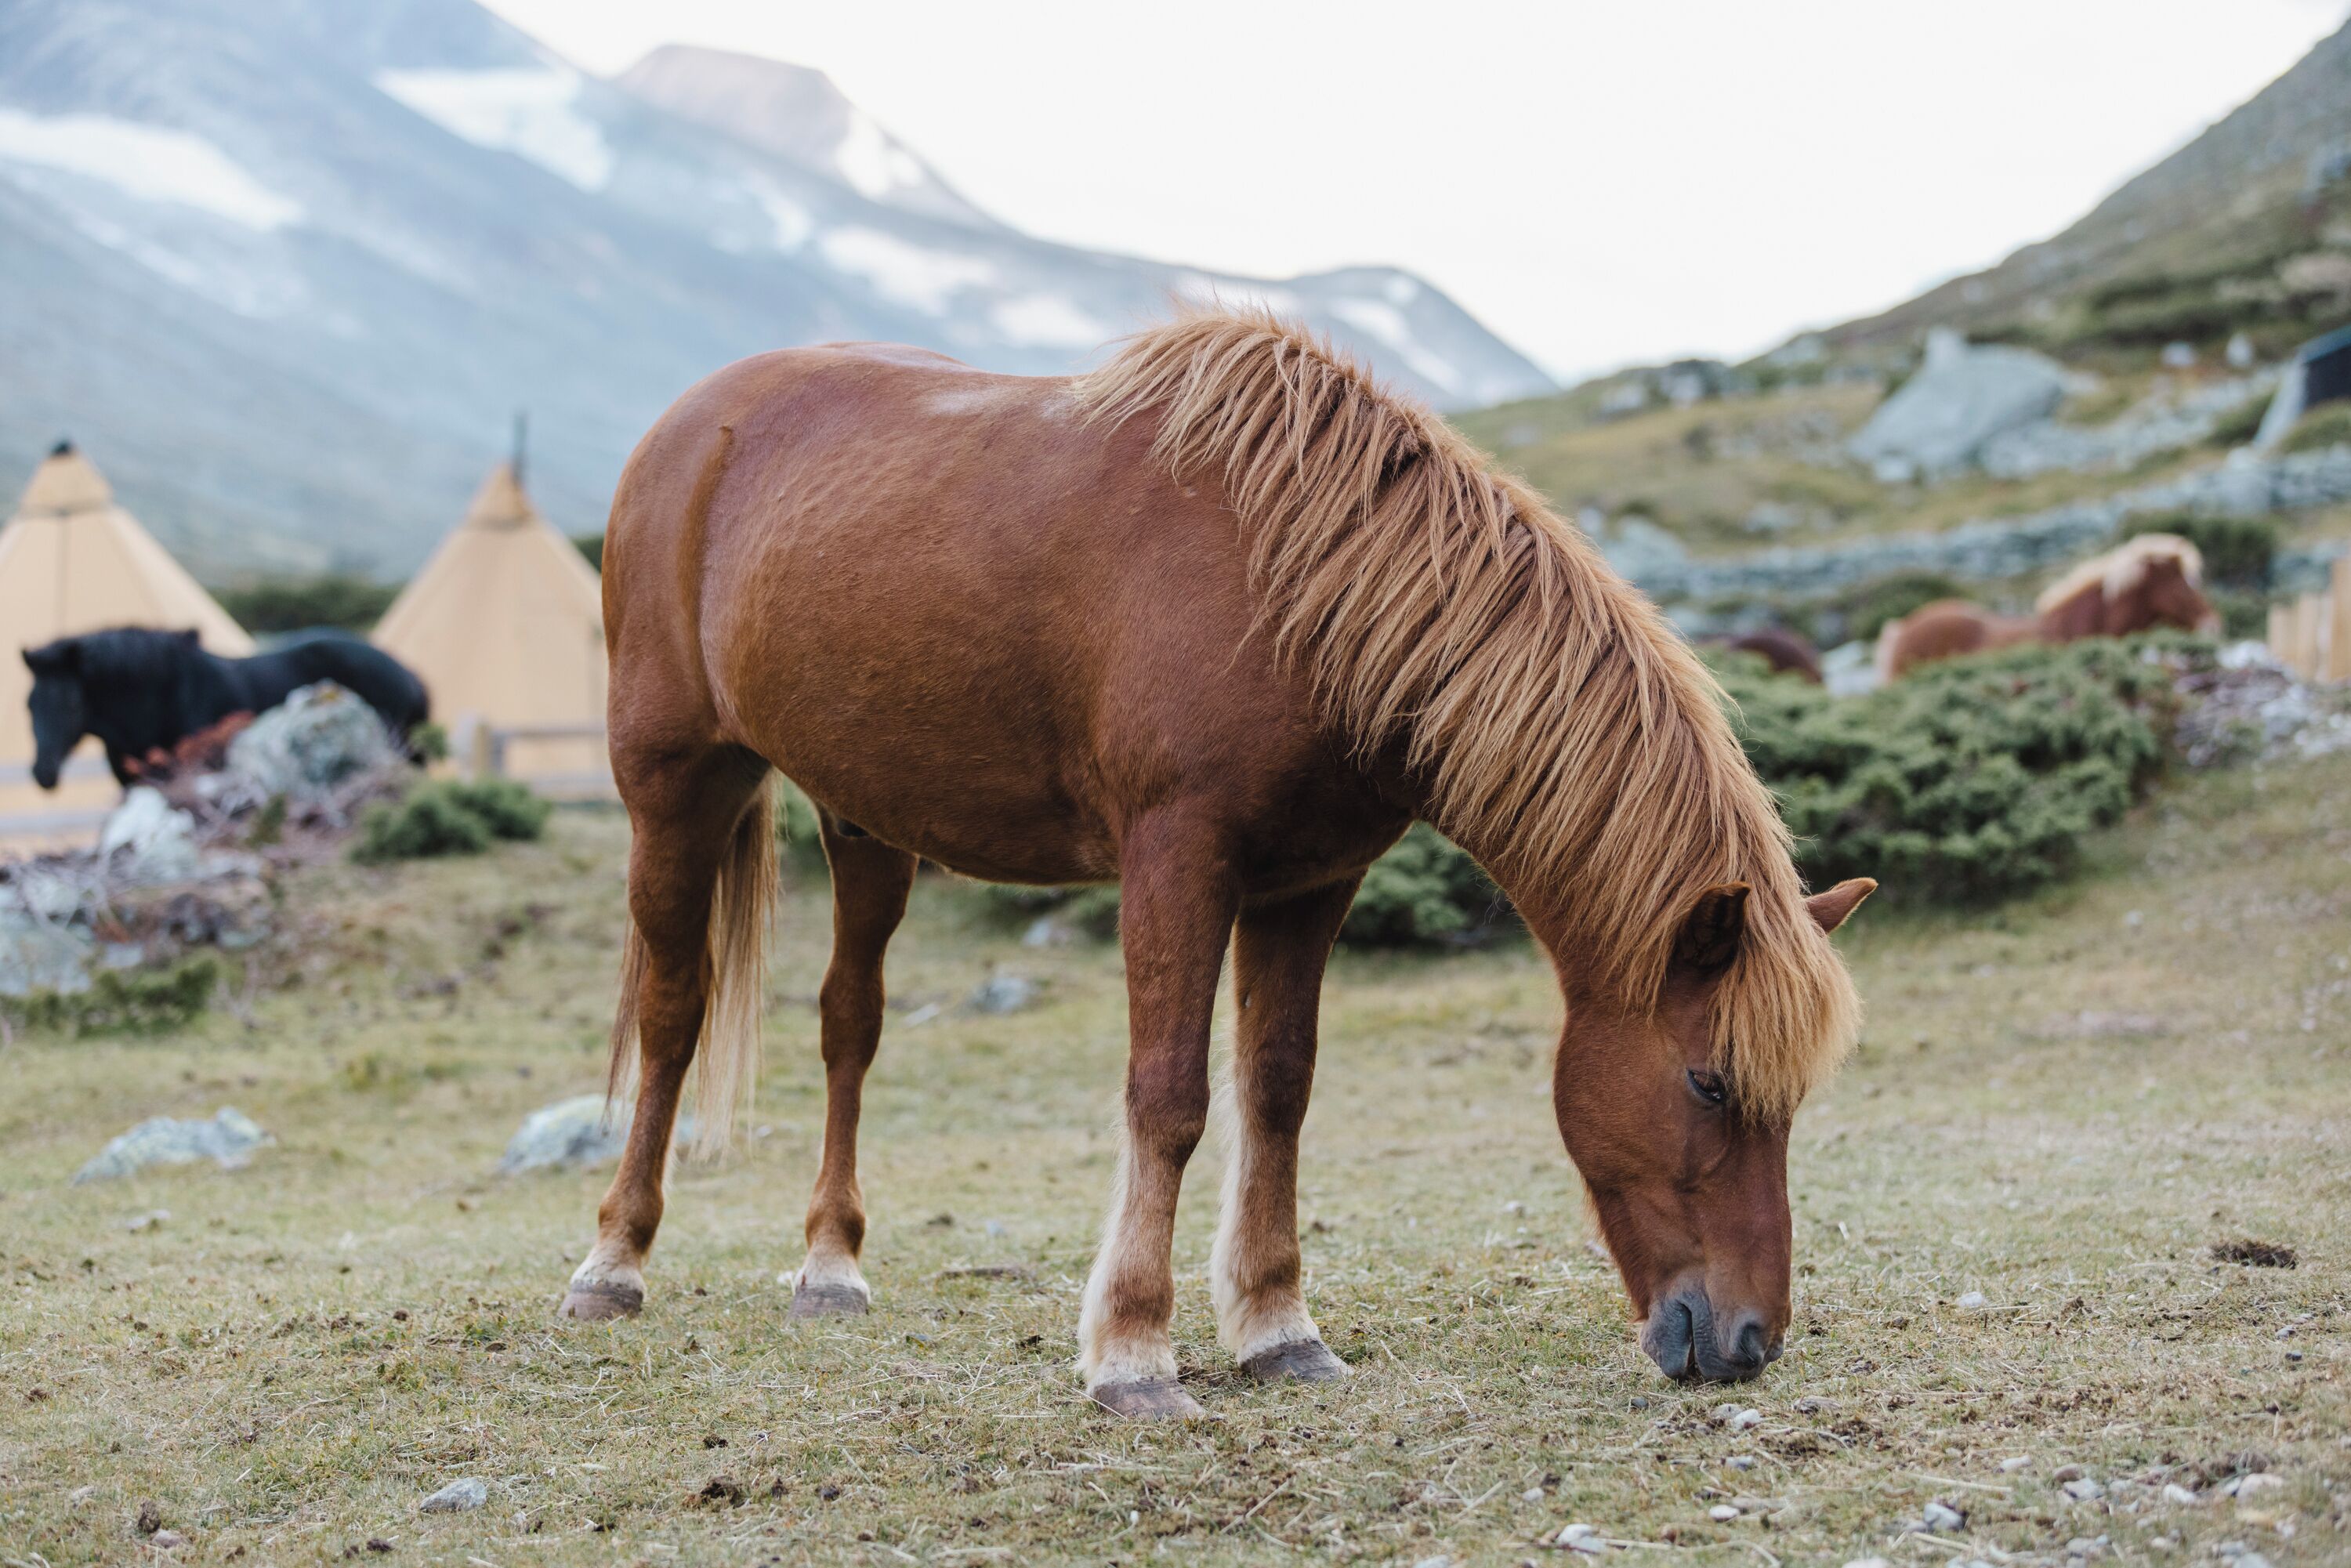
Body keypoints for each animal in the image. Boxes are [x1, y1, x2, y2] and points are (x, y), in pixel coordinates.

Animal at [565, 310, 1875, 1416]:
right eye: (1710, 1082)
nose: (1749, 1339)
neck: (1302, 586)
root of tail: (689, 426)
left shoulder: (1308, 883)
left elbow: (1278, 1091)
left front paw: (1279, 1328)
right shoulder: (1178, 858)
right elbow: (1172, 1096)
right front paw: (1134, 1353)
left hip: (866, 820)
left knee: (849, 1022)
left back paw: (830, 1265)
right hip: (674, 785)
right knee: (674, 1011)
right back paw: (613, 1262)